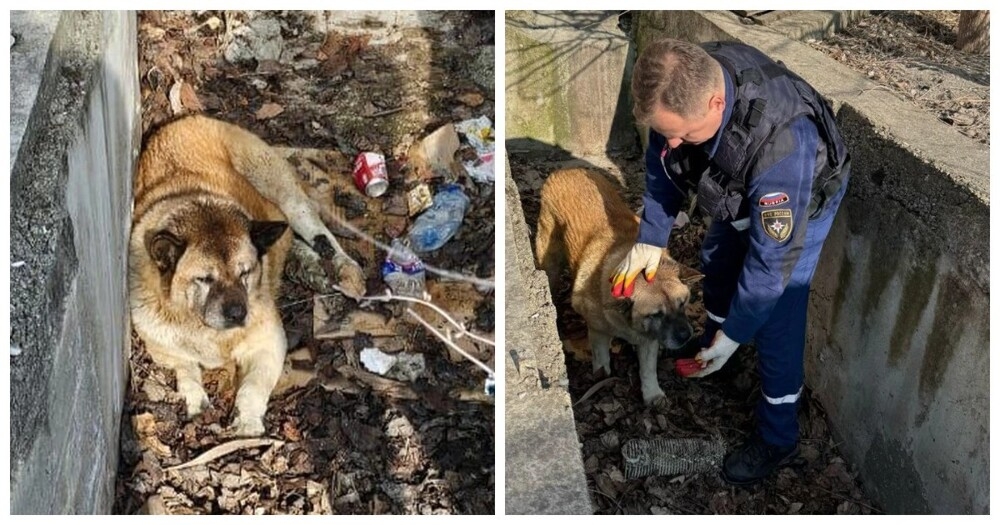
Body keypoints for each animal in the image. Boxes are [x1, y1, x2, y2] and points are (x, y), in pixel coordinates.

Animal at [127, 113, 366, 434]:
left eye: (245, 273)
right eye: (205, 279)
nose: (238, 313)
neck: (209, 332)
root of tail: (184, 119)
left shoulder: (270, 341)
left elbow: (254, 385)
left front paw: (247, 420)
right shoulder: (162, 346)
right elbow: (185, 367)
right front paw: (195, 398)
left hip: (279, 190)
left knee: (316, 232)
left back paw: (343, 269)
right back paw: (312, 267)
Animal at [536, 166, 700, 404]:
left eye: (683, 302)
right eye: (656, 314)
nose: (686, 336)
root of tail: (566, 169)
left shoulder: (648, 339)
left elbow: (648, 368)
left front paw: (651, 392)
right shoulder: (597, 330)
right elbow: (601, 358)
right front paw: (601, 378)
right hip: (550, 263)